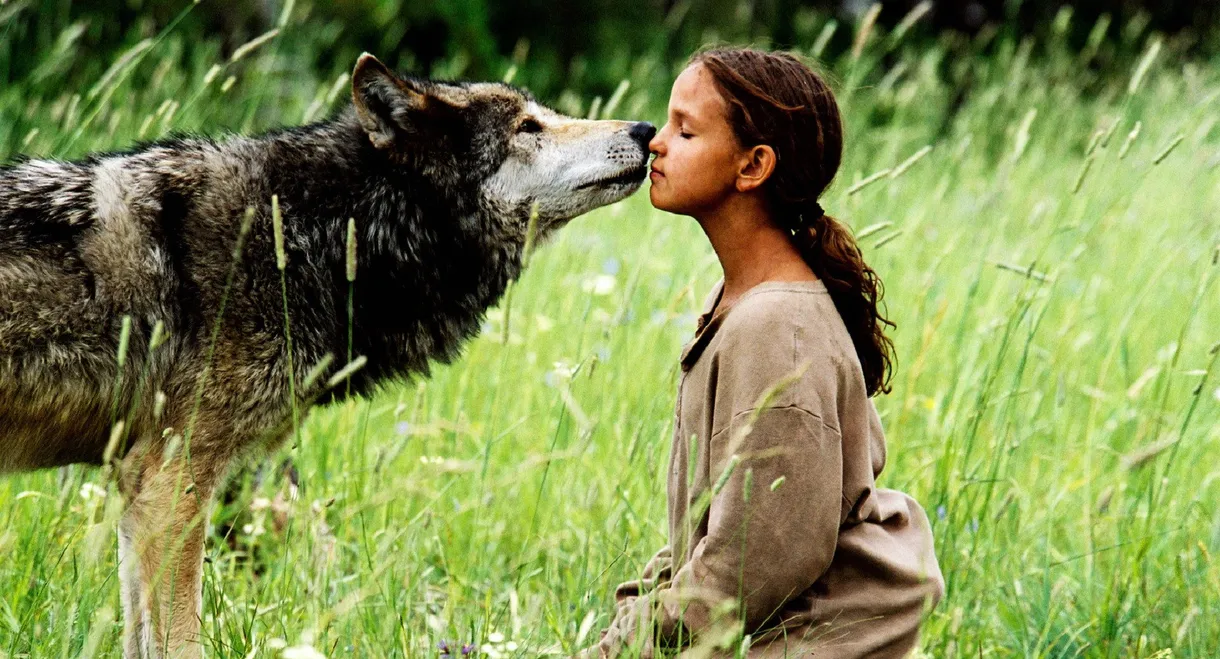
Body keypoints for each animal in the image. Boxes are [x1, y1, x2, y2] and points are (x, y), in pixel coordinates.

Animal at [0, 53, 654, 658]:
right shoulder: (173, 482)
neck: (317, 230)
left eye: (545, 115)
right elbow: (181, 640)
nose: (646, 129)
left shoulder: (138, 487)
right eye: (527, 127)